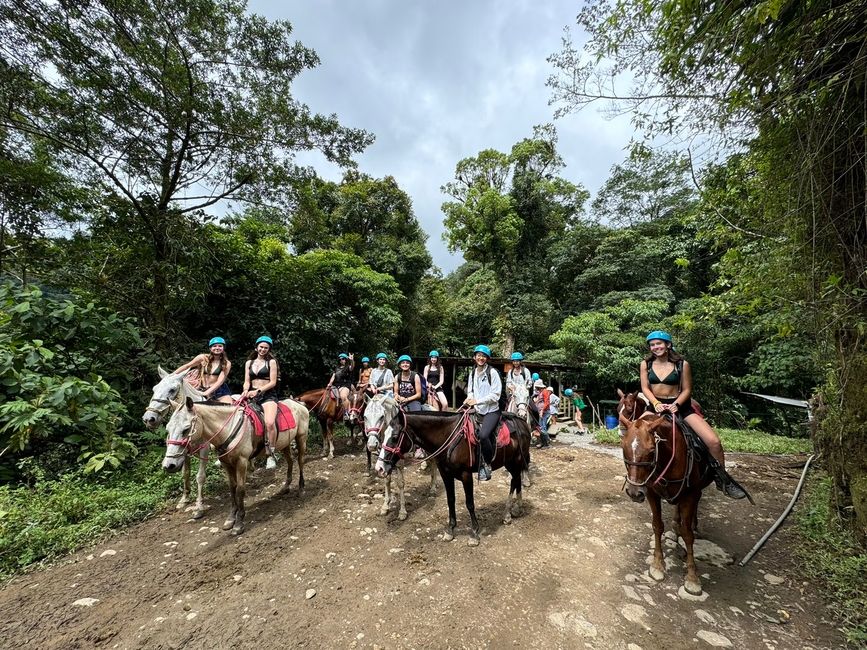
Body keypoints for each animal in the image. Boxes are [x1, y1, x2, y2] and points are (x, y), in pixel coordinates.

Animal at [142, 368, 212, 520]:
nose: (149, 419)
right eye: (154, 388)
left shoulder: (204, 450)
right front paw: (184, 499)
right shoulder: (182, 452)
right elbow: (185, 474)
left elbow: (200, 477)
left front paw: (199, 507)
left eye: (172, 390)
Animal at [164, 392, 310, 536]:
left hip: (301, 438)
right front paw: (230, 519)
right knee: (290, 461)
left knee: (300, 461)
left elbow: (240, 490)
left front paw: (239, 523)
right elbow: (232, 488)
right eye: (167, 428)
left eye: (186, 429)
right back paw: (285, 487)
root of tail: (298, 403)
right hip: (285, 443)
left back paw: (302, 488)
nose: (169, 465)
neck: (229, 428)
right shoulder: (226, 463)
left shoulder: (242, 461)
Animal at [362, 392, 438, 520]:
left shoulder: (399, 461)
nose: (372, 445)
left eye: (382, 416)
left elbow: (400, 483)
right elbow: (387, 480)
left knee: (433, 463)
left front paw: (402, 511)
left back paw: (433, 487)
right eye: (365, 416)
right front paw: (385, 506)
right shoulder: (385, 462)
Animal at [370, 398, 532, 544]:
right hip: (511, 463)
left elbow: (469, 503)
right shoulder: (445, 474)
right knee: (516, 480)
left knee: (515, 481)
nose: (379, 468)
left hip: (515, 461)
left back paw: (508, 514)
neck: (449, 436)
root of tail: (523, 422)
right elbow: (450, 500)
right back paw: (516, 509)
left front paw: (474, 533)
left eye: (395, 436)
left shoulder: (466, 475)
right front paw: (450, 530)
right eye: (384, 434)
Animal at [616, 388, 720, 596]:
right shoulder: (651, 491)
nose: (634, 493)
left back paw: (691, 525)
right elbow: (657, 525)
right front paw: (658, 565)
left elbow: (688, 534)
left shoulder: (691, 493)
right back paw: (675, 526)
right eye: (624, 449)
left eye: (650, 451)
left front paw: (692, 578)